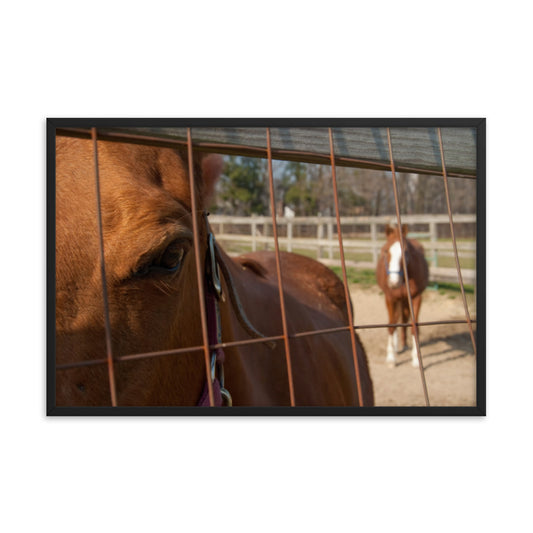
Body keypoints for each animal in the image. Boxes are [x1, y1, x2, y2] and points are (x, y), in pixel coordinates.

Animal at [374, 223, 428, 366]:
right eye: (385, 251)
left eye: (405, 252)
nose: (394, 282)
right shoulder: (390, 298)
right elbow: (391, 326)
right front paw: (391, 358)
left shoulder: (416, 298)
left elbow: (414, 328)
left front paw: (416, 359)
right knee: (395, 320)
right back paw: (396, 345)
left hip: (404, 300)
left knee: (403, 319)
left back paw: (403, 345)